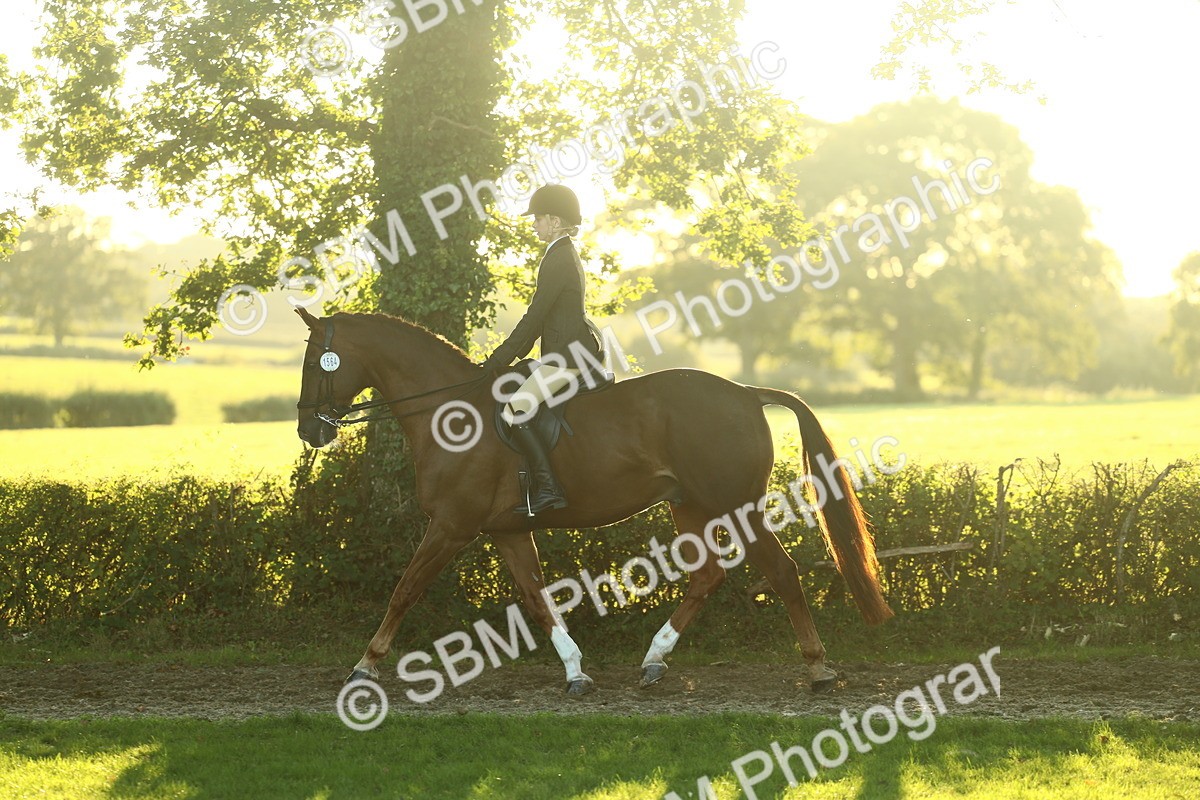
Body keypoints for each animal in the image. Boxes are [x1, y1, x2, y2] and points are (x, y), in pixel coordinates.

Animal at [294, 307, 892, 695]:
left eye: (315, 363)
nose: (308, 431)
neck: (449, 414)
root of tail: (746, 393)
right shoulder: (506, 530)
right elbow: (536, 599)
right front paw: (576, 672)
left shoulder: (451, 525)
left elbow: (405, 590)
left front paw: (365, 666)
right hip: (690, 507)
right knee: (708, 575)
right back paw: (654, 660)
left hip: (734, 506)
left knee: (783, 572)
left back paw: (817, 670)